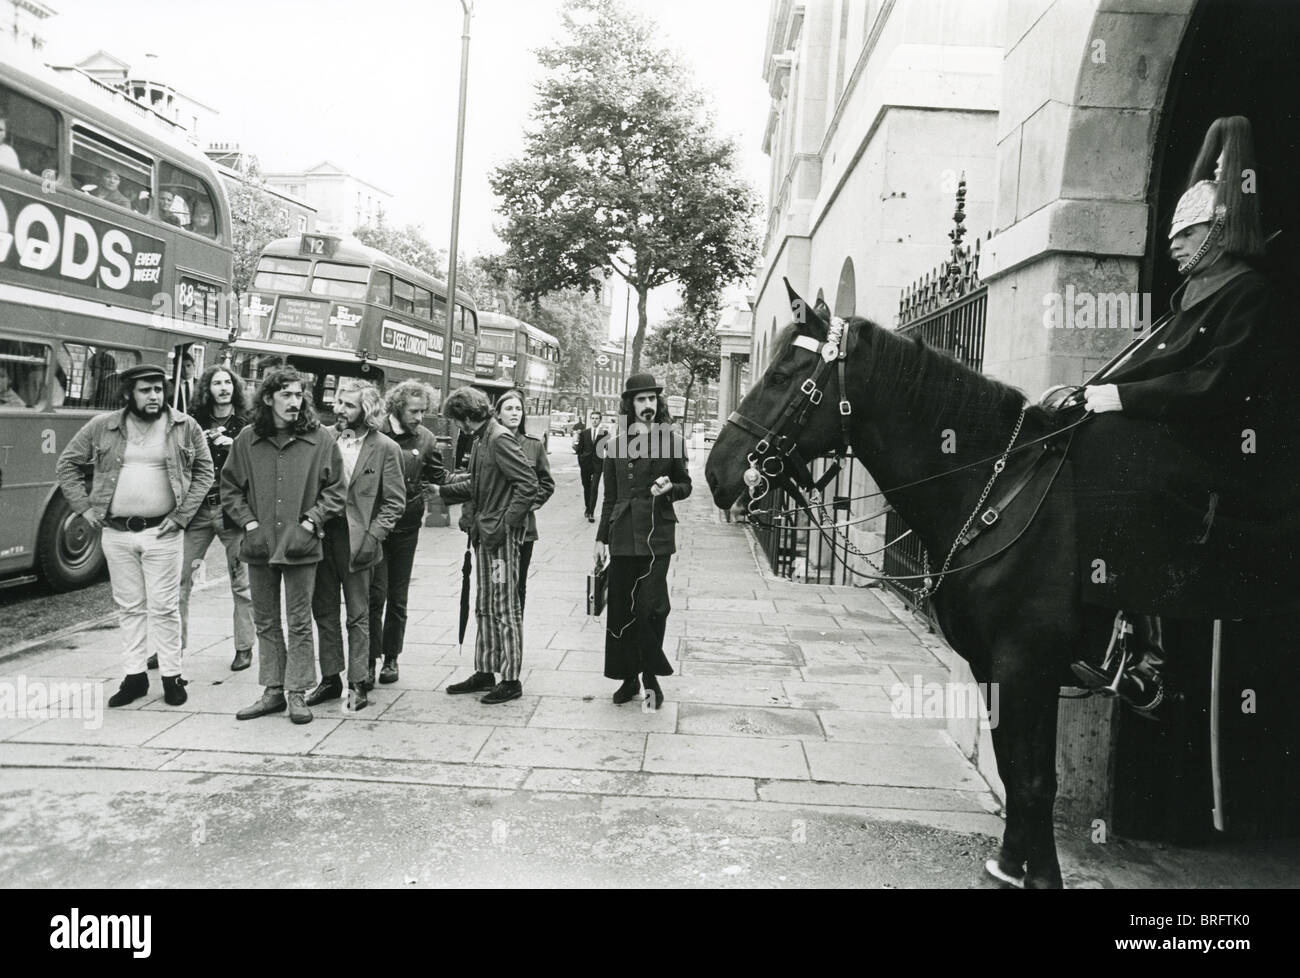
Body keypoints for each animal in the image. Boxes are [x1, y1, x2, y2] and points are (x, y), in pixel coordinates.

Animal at [707, 286, 1112, 889]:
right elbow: (1015, 770)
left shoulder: (1029, 661)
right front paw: (1009, 863)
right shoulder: (994, 664)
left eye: (781, 375)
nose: (714, 472)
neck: (1001, 492)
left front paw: (1038, 875)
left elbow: (1036, 780)